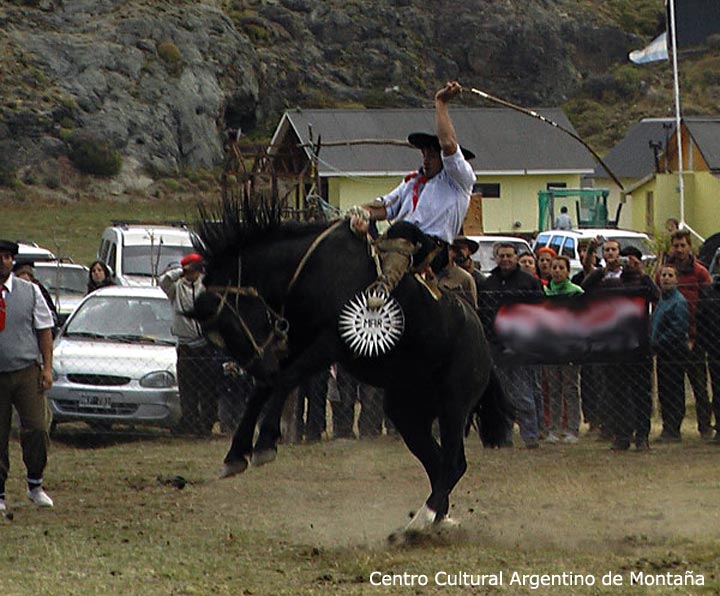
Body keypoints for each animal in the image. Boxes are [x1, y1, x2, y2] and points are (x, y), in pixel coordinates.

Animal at [194, 197, 510, 532]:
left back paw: (421, 520)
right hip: (408, 411)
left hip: (453, 404)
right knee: (438, 462)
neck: (314, 268)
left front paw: (265, 442)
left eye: (232, 325)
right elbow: (265, 389)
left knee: (452, 463)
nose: (259, 366)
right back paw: (432, 521)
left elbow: (285, 379)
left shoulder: (330, 343)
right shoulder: (297, 342)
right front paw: (235, 455)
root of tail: (482, 342)